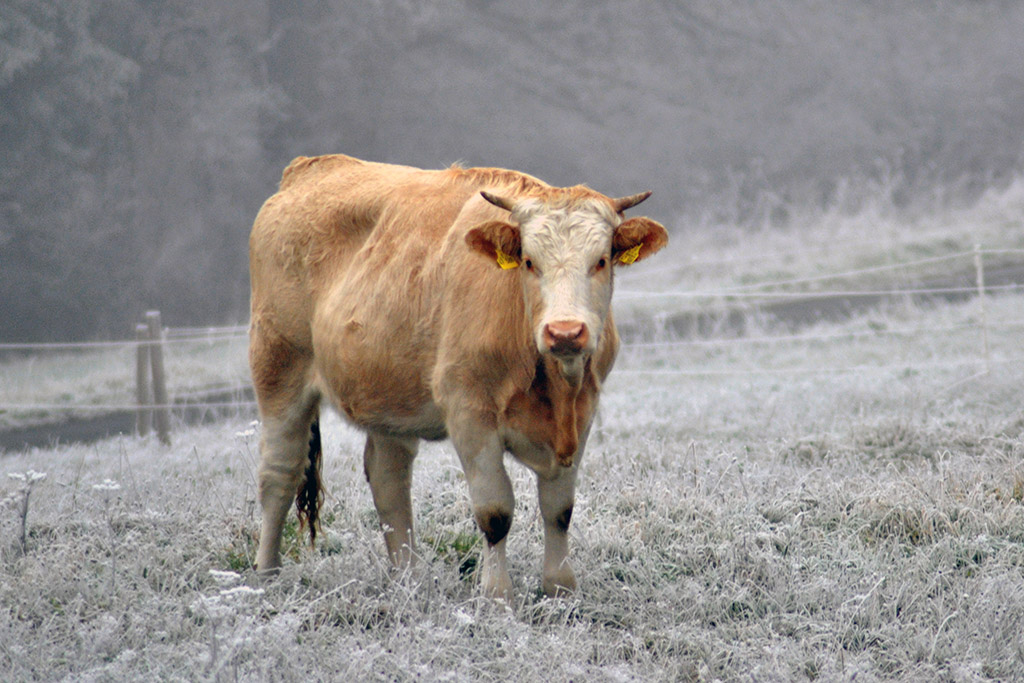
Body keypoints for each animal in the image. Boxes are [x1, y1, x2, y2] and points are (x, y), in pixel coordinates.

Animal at [248, 154, 667, 598]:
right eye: (529, 262)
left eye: (601, 261)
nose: (565, 332)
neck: (553, 385)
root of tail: (310, 168)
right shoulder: (469, 410)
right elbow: (495, 511)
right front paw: (497, 597)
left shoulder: (583, 412)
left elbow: (559, 509)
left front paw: (560, 590)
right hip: (278, 369)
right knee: (280, 472)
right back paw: (267, 574)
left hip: (387, 393)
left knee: (388, 478)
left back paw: (409, 580)